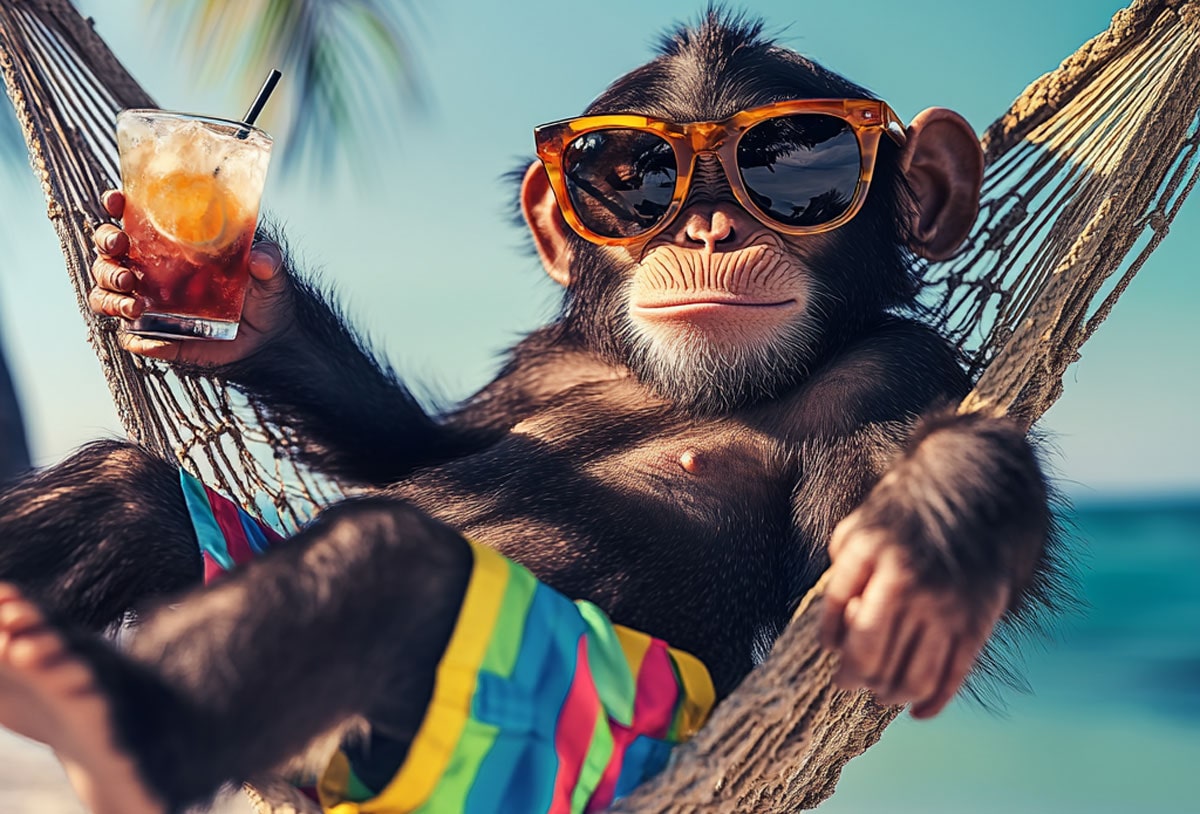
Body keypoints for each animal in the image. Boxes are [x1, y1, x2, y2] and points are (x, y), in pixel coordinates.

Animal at [0, 12, 1062, 814]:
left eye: (793, 173)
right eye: (632, 176)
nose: (708, 228)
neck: (678, 382)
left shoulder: (895, 369)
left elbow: (861, 514)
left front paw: (932, 522)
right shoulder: (536, 364)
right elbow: (412, 447)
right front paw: (240, 309)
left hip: (519, 725)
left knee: (398, 563)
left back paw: (106, 725)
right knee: (130, 496)